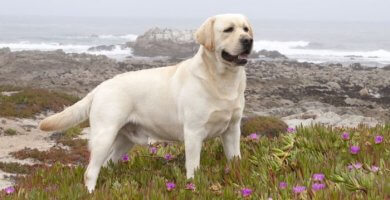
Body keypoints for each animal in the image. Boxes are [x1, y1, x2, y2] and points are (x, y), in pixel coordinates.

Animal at [38, 13, 253, 191]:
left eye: (246, 28)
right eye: (228, 29)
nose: (248, 41)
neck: (222, 80)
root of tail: (100, 87)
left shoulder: (232, 130)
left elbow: (235, 159)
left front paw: (238, 176)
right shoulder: (193, 132)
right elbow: (193, 166)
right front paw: (193, 185)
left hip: (124, 140)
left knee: (107, 164)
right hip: (104, 136)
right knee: (90, 172)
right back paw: (91, 192)